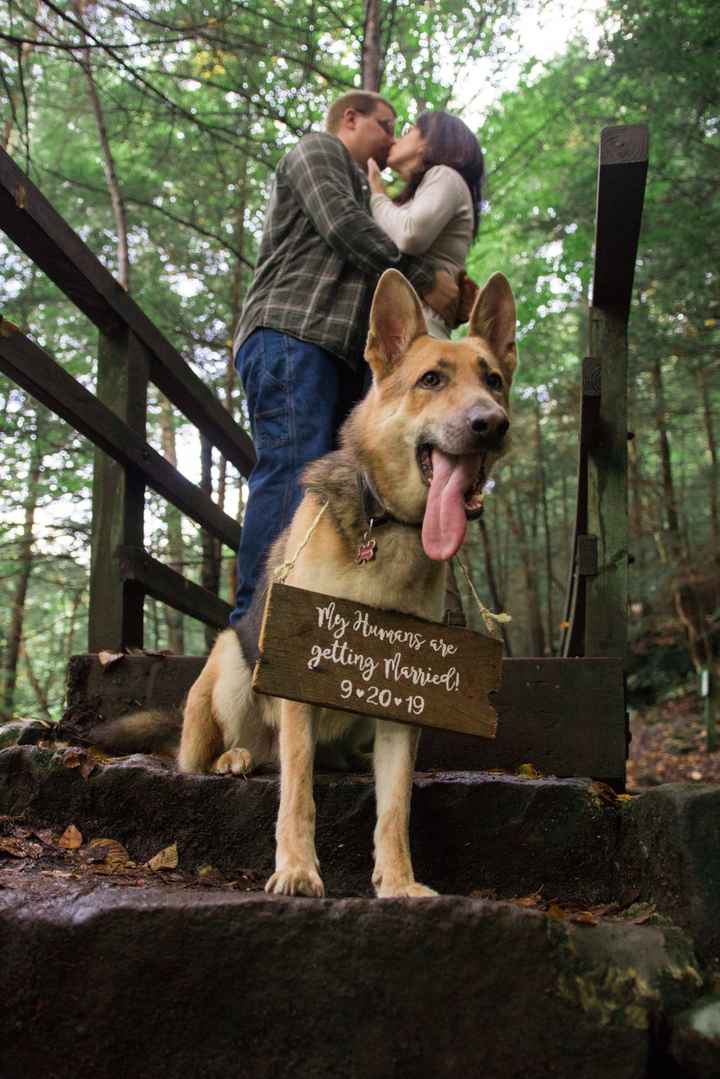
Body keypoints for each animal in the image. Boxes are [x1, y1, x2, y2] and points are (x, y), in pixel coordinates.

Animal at [102, 267, 518, 893]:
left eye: (493, 380)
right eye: (431, 380)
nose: (491, 423)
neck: (384, 520)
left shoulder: (402, 703)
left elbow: (395, 808)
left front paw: (397, 882)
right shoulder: (297, 680)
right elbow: (297, 791)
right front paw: (297, 868)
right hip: (231, 666)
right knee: (227, 756)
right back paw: (232, 758)